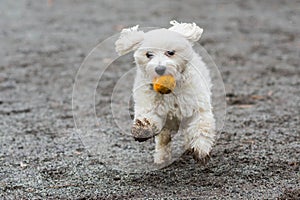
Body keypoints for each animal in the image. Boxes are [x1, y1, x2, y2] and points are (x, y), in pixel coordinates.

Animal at [115, 20, 216, 165]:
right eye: (148, 54)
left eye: (170, 52)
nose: (160, 69)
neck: (171, 92)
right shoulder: (149, 103)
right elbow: (149, 117)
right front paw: (142, 129)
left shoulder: (197, 106)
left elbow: (201, 126)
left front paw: (201, 148)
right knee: (164, 139)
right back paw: (162, 158)